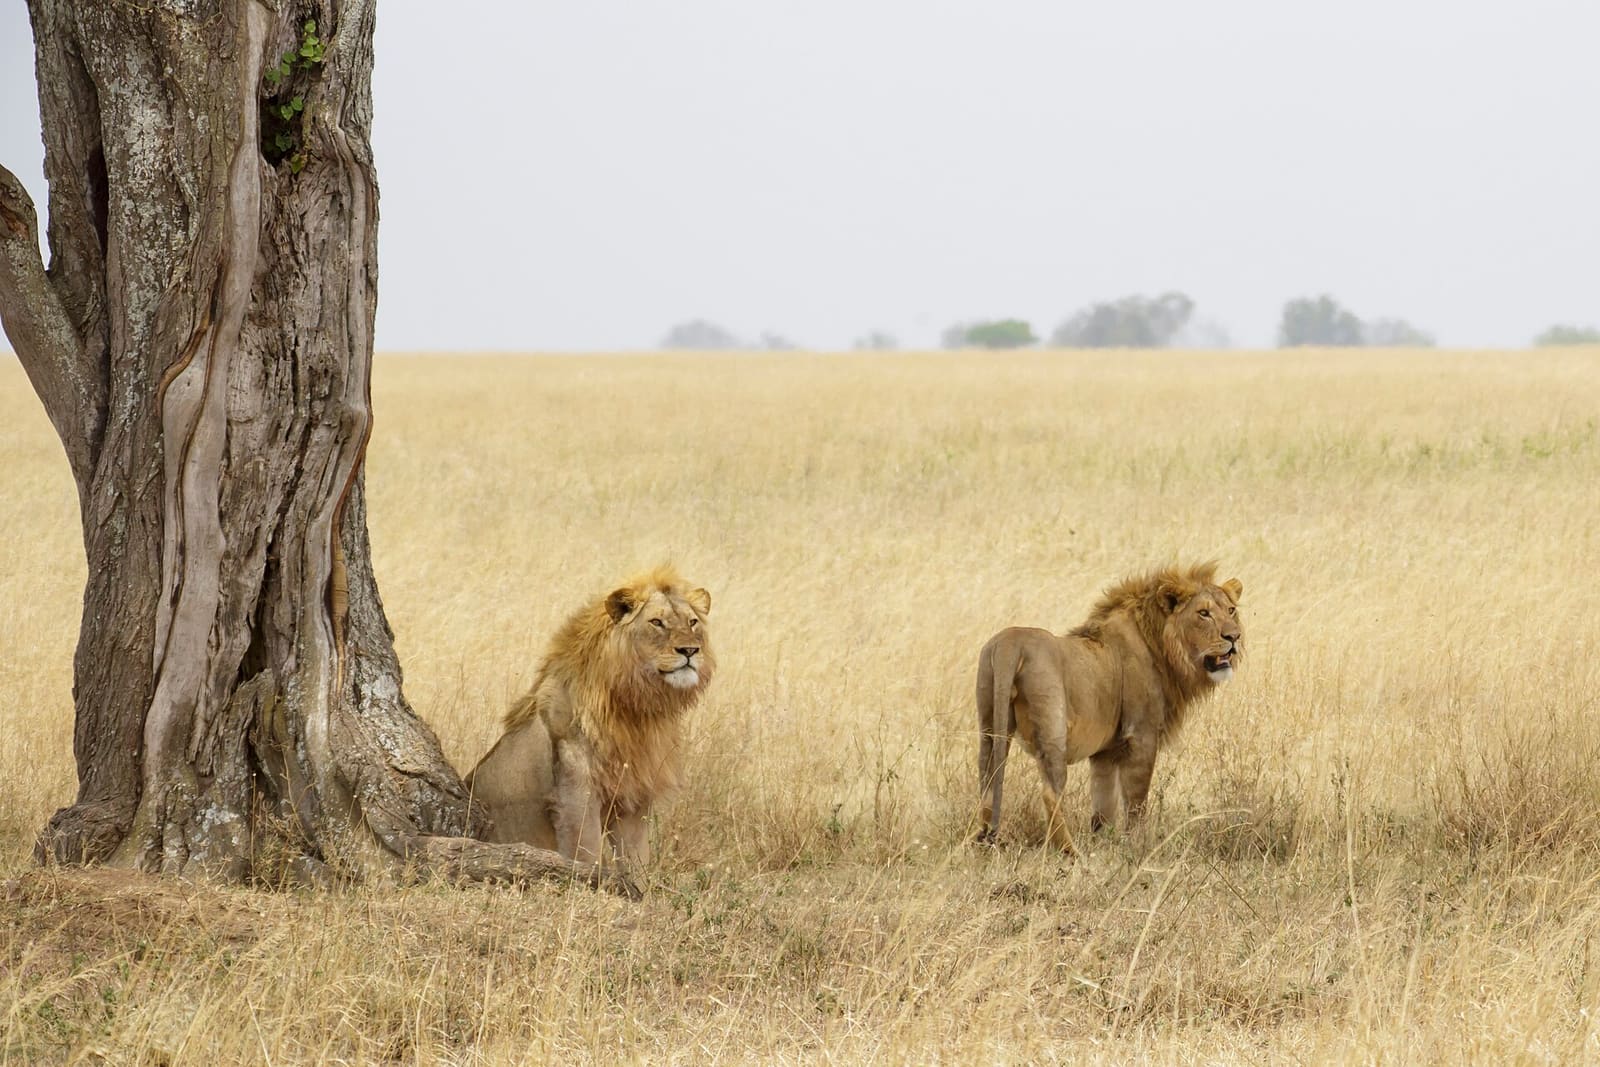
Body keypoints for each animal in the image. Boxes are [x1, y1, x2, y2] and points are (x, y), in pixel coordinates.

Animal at [465, 566, 714, 870]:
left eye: (692, 622)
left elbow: (637, 861)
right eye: (657, 622)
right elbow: (587, 854)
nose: (690, 651)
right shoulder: (576, 795)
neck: (637, 709)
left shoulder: (632, 802)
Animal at [974, 562, 1243, 853]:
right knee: (1049, 792)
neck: (1161, 647)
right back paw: (1070, 852)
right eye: (1203, 613)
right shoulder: (1141, 736)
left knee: (987, 780)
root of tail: (1009, 643)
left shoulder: (1105, 751)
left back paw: (983, 839)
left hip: (990, 723)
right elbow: (1136, 802)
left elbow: (1103, 805)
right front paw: (1136, 845)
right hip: (1053, 730)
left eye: (1231, 610)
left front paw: (1103, 843)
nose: (1234, 637)